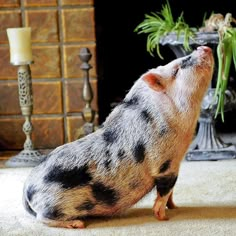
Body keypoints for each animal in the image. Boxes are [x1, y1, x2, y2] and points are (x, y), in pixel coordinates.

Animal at [21, 45, 214, 228]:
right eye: (178, 67)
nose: (204, 47)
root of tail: (27, 189)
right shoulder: (165, 164)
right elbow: (164, 191)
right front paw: (163, 217)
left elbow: (171, 193)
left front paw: (175, 207)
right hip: (53, 206)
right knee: (42, 218)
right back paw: (77, 224)